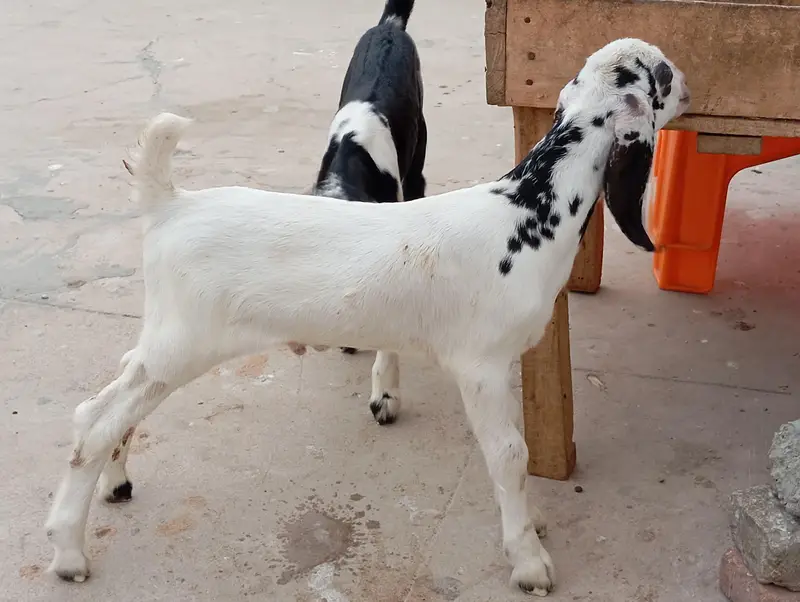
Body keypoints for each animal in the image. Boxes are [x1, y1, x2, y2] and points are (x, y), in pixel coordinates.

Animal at [45, 38, 689, 596]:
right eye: (662, 75)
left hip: (166, 336)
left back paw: (115, 482)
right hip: (184, 341)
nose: (689, 88)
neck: (527, 212)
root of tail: (169, 204)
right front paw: (529, 561)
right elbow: (510, 455)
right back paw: (68, 552)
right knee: (94, 420)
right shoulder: (481, 364)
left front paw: (531, 525)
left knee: (112, 393)